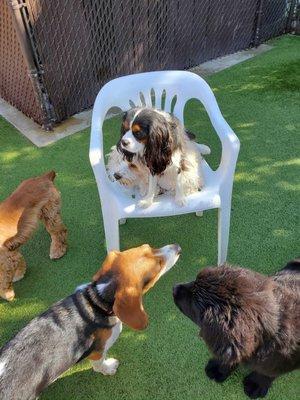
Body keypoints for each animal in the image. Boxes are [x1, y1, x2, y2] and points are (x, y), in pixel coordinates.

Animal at [0, 171, 67, 300]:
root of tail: (44, 177)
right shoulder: (12, 251)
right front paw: (19, 273)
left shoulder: (6, 258)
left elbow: (3, 279)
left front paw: (7, 294)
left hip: (49, 212)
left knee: (59, 232)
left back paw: (57, 251)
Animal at [0, 244, 180, 400]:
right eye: (159, 265)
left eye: (148, 246)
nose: (178, 247)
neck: (97, 300)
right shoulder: (98, 351)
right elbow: (99, 365)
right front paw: (109, 368)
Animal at [172, 260, 298, 396]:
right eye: (195, 280)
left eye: (192, 302)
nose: (174, 288)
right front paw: (218, 369)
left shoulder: (280, 361)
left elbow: (266, 372)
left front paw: (255, 385)